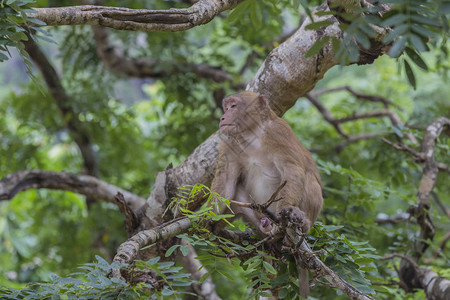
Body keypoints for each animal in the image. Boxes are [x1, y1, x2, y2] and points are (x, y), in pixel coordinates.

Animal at [211, 91, 324, 298]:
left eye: (233, 106)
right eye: (226, 107)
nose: (223, 117)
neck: (252, 135)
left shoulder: (279, 131)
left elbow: (293, 169)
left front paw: (289, 210)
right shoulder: (228, 141)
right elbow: (227, 179)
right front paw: (206, 216)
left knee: (308, 178)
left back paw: (300, 223)